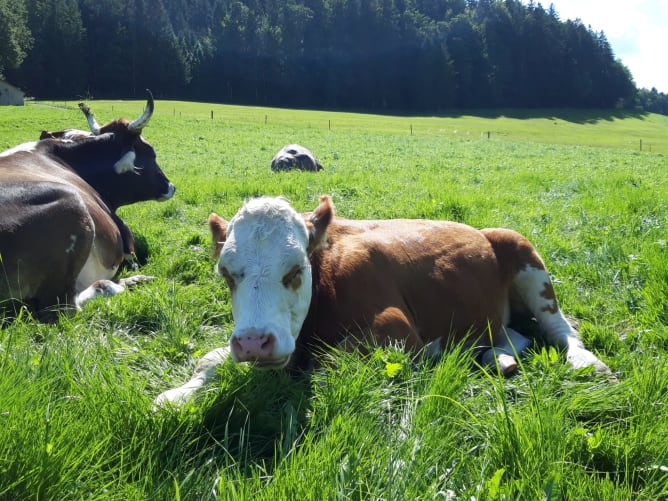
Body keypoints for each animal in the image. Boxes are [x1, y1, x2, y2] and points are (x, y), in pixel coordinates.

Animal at [0, 90, 175, 316]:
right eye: (151, 152)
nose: (171, 187)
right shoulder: (124, 235)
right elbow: (132, 258)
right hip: (73, 207)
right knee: (70, 303)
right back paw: (130, 281)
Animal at [155, 195, 612, 406]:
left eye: (295, 269)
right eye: (226, 273)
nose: (253, 343)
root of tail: (481, 229)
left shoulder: (397, 331)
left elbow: (329, 361)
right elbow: (210, 358)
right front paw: (177, 395)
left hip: (523, 251)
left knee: (560, 327)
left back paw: (585, 361)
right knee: (514, 337)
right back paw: (497, 357)